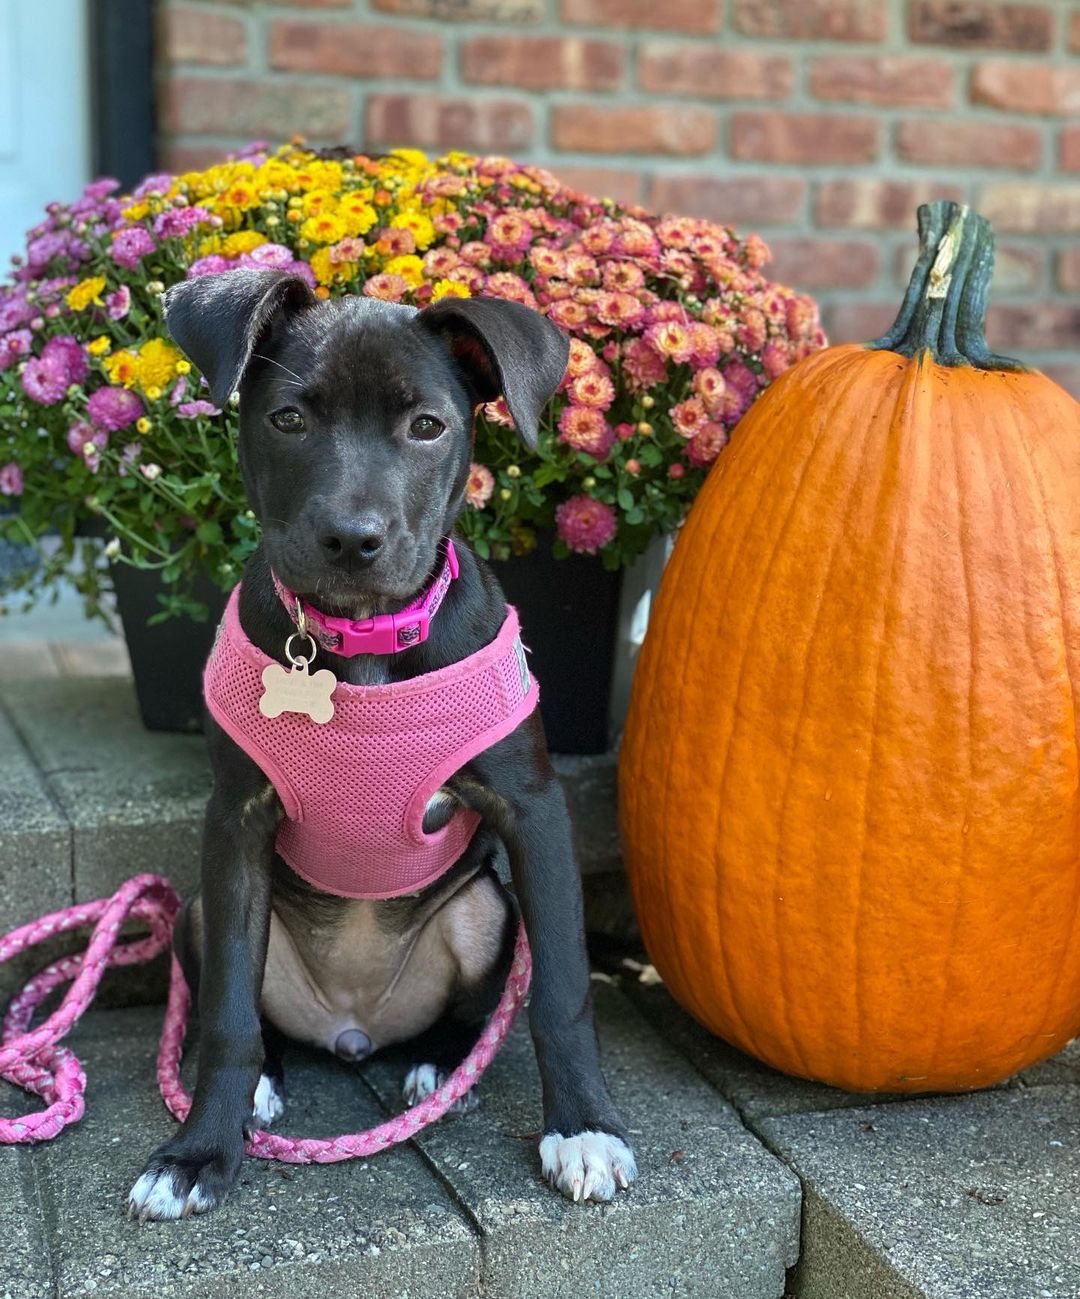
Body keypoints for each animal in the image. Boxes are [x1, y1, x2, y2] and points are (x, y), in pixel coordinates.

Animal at [128, 268, 636, 1221]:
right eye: (289, 418)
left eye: (427, 425)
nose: (352, 540)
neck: (359, 642)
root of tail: (354, 1025)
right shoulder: (236, 821)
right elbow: (227, 1014)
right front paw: (198, 1151)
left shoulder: (533, 806)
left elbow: (561, 990)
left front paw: (585, 1128)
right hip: (202, 910)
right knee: (245, 1006)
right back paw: (265, 1084)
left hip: (486, 911)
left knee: (470, 1009)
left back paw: (440, 1066)